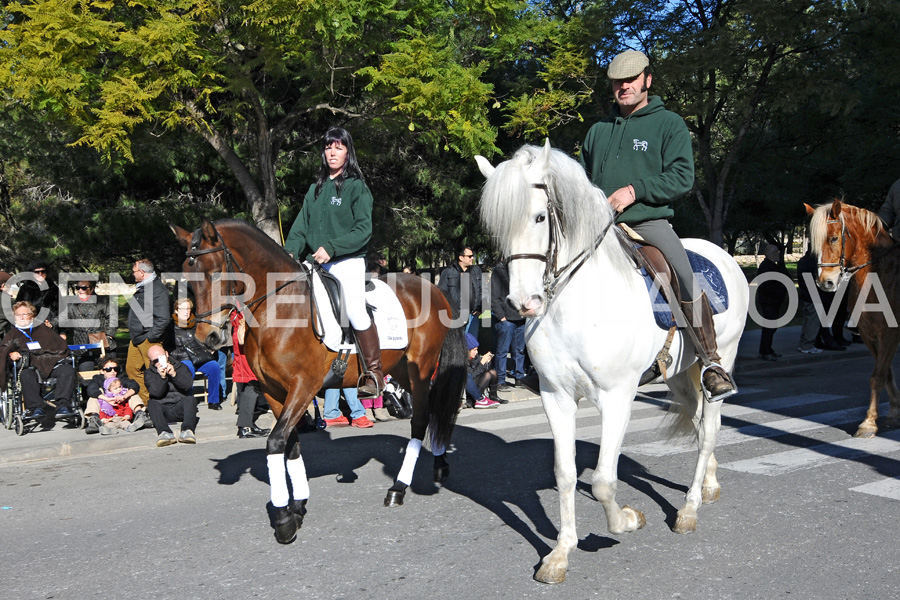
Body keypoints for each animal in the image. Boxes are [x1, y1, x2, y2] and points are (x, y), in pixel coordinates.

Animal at [170, 218, 468, 540]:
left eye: (215, 273)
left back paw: (398, 488)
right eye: (187, 277)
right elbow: (290, 445)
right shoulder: (274, 391)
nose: (208, 338)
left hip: (421, 368)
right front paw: (297, 505)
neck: (279, 309)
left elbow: (275, 442)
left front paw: (284, 520)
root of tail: (433, 288)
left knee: (422, 418)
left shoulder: (304, 386)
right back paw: (439, 463)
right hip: (401, 367)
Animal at [474, 143, 748, 584]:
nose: (522, 304)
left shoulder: (617, 397)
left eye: (539, 217)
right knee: (698, 420)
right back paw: (708, 484)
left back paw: (689, 508)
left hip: (724, 356)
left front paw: (628, 520)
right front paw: (560, 553)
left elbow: (603, 480)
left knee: (708, 430)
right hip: (679, 377)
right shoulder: (556, 396)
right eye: (497, 228)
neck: (579, 302)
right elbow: (566, 474)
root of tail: (721, 254)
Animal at [804, 199, 900, 438]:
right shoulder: (869, 335)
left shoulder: (890, 333)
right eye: (812, 244)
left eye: (833, 238)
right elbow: (885, 373)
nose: (826, 283)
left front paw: (868, 423)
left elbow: (878, 376)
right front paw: (893, 412)